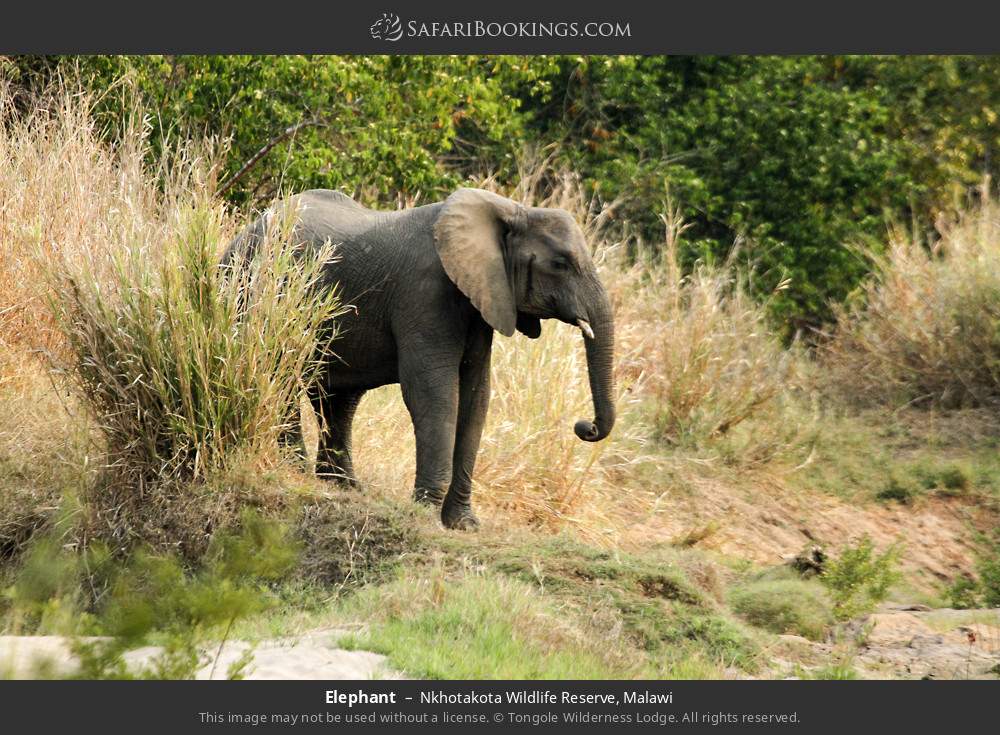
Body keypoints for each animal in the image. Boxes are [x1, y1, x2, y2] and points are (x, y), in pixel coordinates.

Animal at [222, 188, 615, 529]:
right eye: (560, 264)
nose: (586, 427)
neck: (510, 211)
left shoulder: (482, 298)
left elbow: (476, 397)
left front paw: (464, 524)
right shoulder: (425, 293)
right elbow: (434, 393)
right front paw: (425, 512)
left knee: (337, 397)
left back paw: (342, 484)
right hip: (253, 288)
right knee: (281, 372)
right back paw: (294, 470)